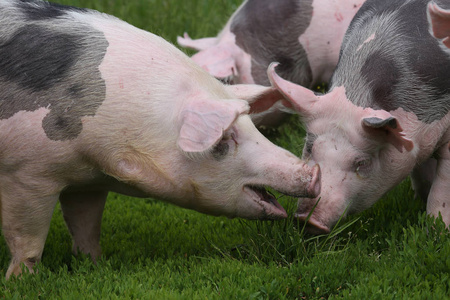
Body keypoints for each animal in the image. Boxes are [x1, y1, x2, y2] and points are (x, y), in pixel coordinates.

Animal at [0, 0, 320, 278]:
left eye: (252, 126)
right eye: (225, 138)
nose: (315, 172)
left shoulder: (87, 180)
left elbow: (86, 227)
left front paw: (94, 265)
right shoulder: (27, 174)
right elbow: (28, 240)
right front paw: (22, 281)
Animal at [268, 0, 450, 234]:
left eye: (362, 163)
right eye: (309, 147)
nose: (307, 220)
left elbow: (441, 191)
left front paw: (436, 230)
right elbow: (422, 175)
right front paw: (420, 199)